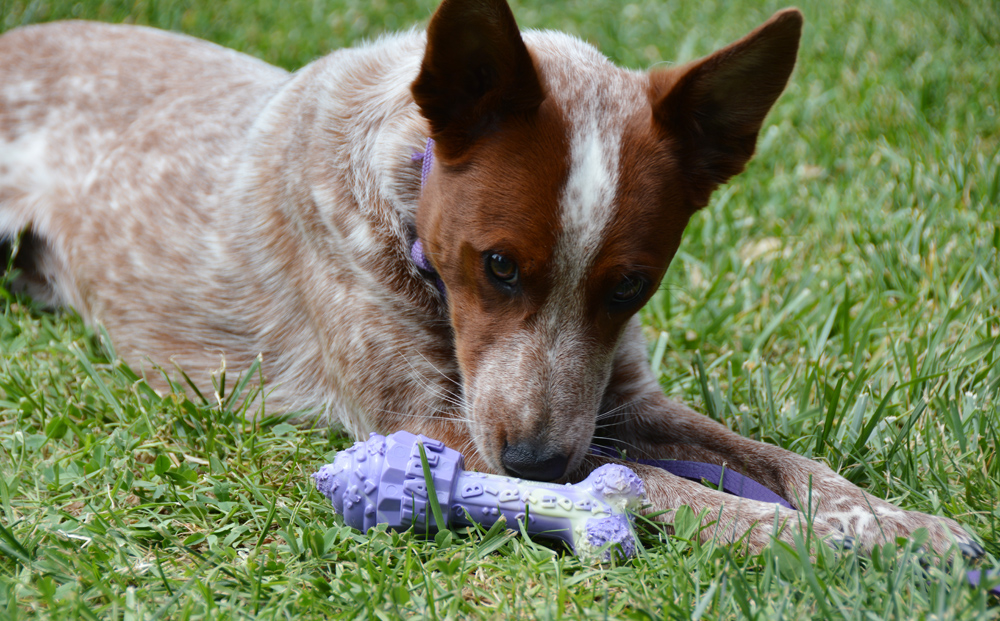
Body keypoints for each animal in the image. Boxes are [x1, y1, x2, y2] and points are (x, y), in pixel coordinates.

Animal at [0, 0, 984, 552]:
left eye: (630, 287)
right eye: (499, 264)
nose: (539, 462)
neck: (400, 185)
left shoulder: (618, 395)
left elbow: (786, 461)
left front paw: (894, 523)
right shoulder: (431, 422)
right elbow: (658, 483)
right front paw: (835, 543)